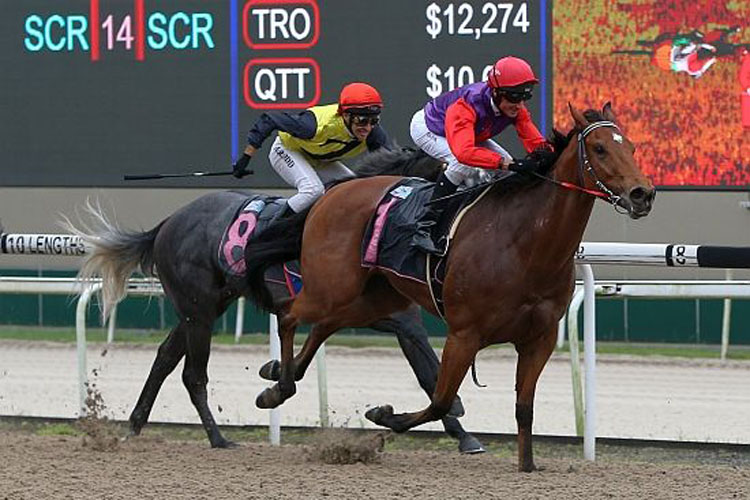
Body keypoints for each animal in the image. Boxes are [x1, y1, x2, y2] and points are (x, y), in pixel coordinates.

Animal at [247, 103, 656, 470]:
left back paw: (277, 380)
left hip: (374, 297)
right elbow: (443, 399)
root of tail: (332, 193)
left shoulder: (539, 338)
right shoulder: (464, 334)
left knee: (324, 325)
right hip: (332, 286)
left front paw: (527, 465)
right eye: (600, 148)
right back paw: (281, 383)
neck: (525, 244)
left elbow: (524, 407)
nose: (643, 194)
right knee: (289, 315)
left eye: (632, 147)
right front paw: (384, 417)